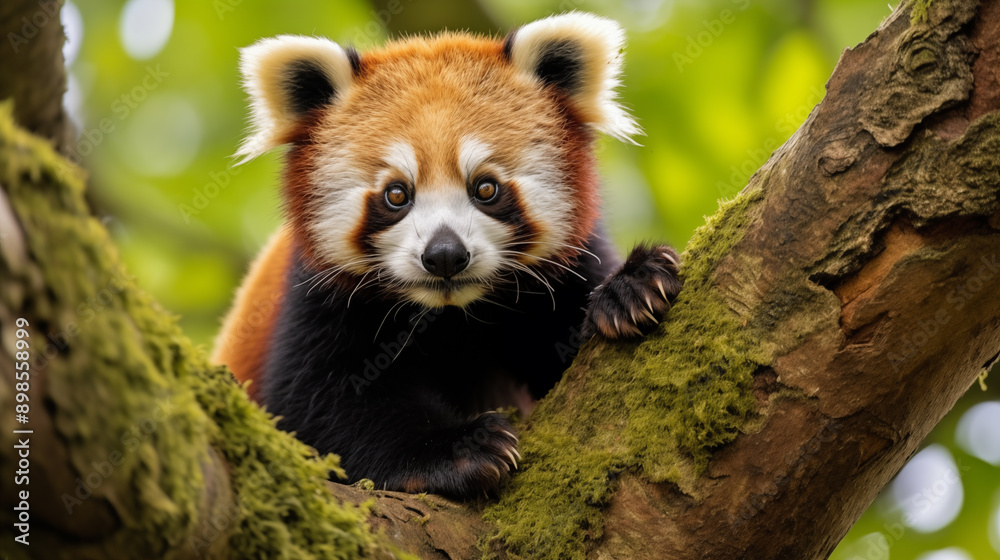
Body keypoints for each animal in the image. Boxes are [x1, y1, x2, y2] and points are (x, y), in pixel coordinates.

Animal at [212, 12, 682, 498]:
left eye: (486, 188)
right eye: (397, 194)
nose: (444, 255)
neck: (453, 316)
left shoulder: (566, 268)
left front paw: (631, 288)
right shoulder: (314, 298)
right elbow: (316, 406)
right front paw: (460, 448)